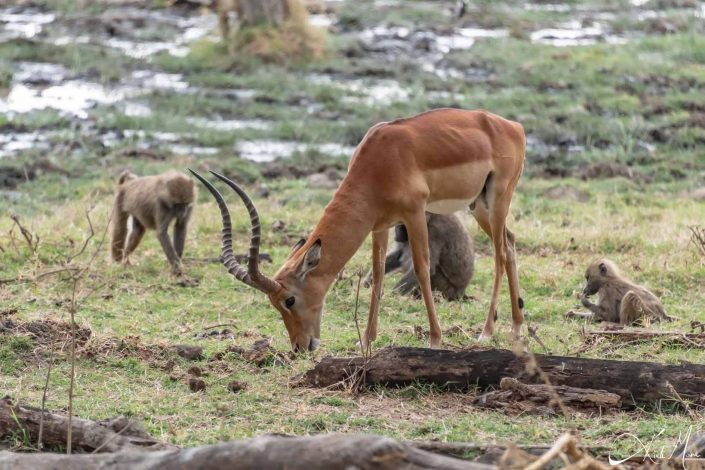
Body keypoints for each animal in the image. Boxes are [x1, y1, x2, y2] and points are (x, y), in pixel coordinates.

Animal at [190, 108, 524, 350]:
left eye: (289, 299)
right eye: (274, 303)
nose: (301, 346)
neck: (381, 159)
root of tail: (513, 126)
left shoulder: (415, 213)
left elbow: (420, 267)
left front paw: (434, 339)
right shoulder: (380, 224)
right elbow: (376, 274)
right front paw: (366, 340)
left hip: (498, 200)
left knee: (499, 255)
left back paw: (487, 332)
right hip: (479, 206)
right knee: (509, 244)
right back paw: (517, 327)